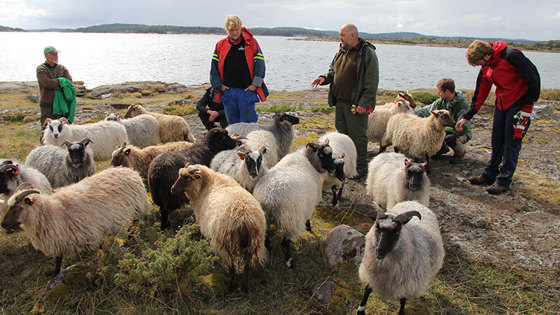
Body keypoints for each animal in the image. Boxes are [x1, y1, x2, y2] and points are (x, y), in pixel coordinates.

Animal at [0, 167, 151, 276]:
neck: (50, 212)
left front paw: (110, 257)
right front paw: (55, 273)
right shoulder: (62, 239)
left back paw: (130, 237)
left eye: (17, 208)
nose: (3, 224)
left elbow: (101, 247)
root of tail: (130, 171)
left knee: (134, 222)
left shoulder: (92, 232)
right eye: (9, 207)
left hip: (137, 207)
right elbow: (59, 258)